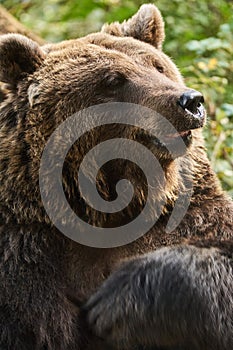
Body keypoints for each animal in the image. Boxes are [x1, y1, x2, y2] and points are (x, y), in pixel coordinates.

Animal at [0, 3, 232, 350]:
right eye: (113, 79)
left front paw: (119, 299)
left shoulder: (194, 217)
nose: (190, 101)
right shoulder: (25, 253)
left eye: (158, 66)